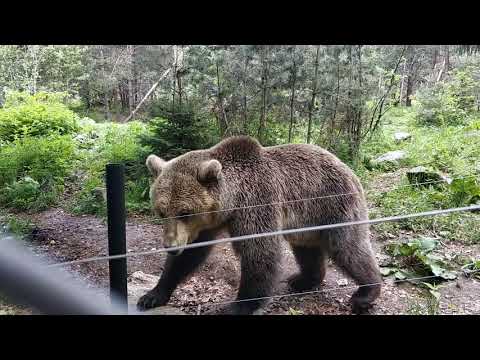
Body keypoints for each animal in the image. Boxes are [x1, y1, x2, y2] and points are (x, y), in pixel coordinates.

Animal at [138, 136, 382, 316]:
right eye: (161, 212)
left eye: (185, 212)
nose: (171, 246)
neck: (231, 203)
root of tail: (346, 166)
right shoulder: (206, 225)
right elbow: (191, 254)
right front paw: (152, 295)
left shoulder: (256, 202)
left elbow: (260, 252)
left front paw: (237, 306)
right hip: (306, 222)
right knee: (307, 249)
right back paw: (303, 279)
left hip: (333, 203)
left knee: (348, 247)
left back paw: (366, 293)